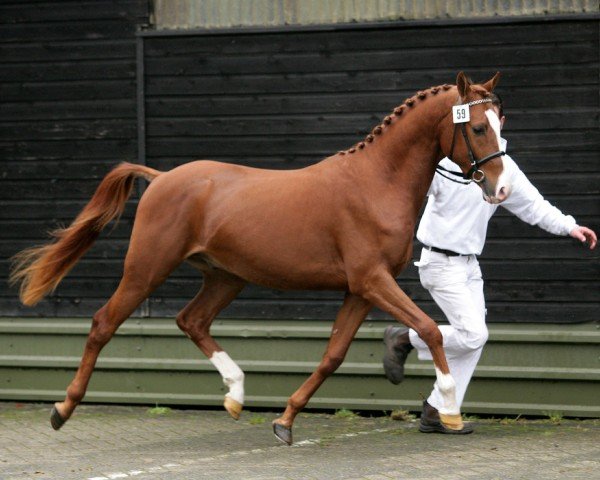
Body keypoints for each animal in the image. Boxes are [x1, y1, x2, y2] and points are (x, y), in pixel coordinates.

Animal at [11, 72, 508, 446]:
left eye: (501, 121)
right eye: (478, 127)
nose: (500, 189)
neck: (375, 182)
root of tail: (162, 177)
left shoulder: (361, 290)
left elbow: (333, 355)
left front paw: (284, 422)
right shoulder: (372, 281)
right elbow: (429, 329)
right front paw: (450, 410)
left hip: (225, 277)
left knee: (191, 321)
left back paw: (235, 395)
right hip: (146, 268)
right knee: (103, 324)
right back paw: (62, 408)